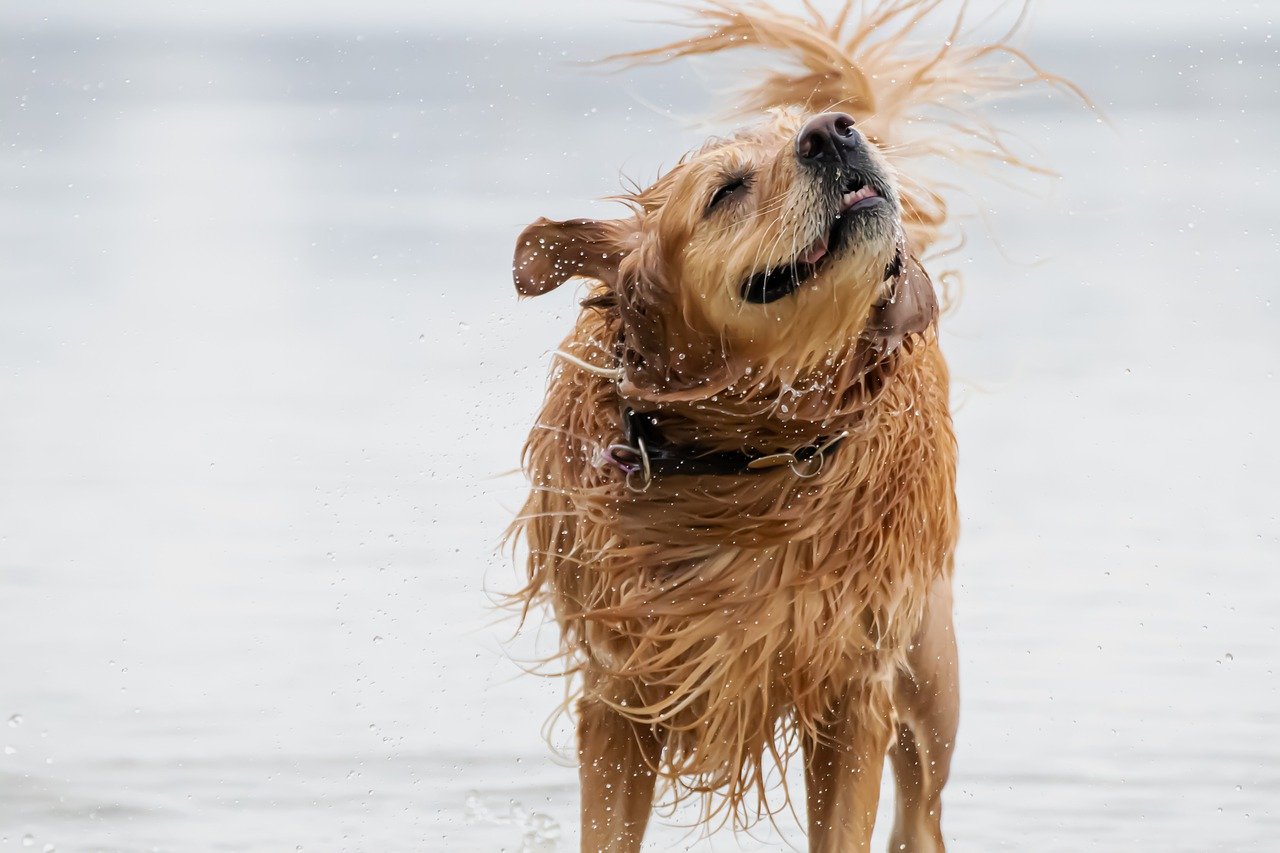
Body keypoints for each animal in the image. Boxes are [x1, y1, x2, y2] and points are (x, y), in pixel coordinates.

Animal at [504, 3, 1064, 845]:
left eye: (807, 132)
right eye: (726, 189)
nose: (832, 131)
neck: (741, 456)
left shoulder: (852, 686)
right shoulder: (619, 688)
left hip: (929, 676)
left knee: (920, 810)